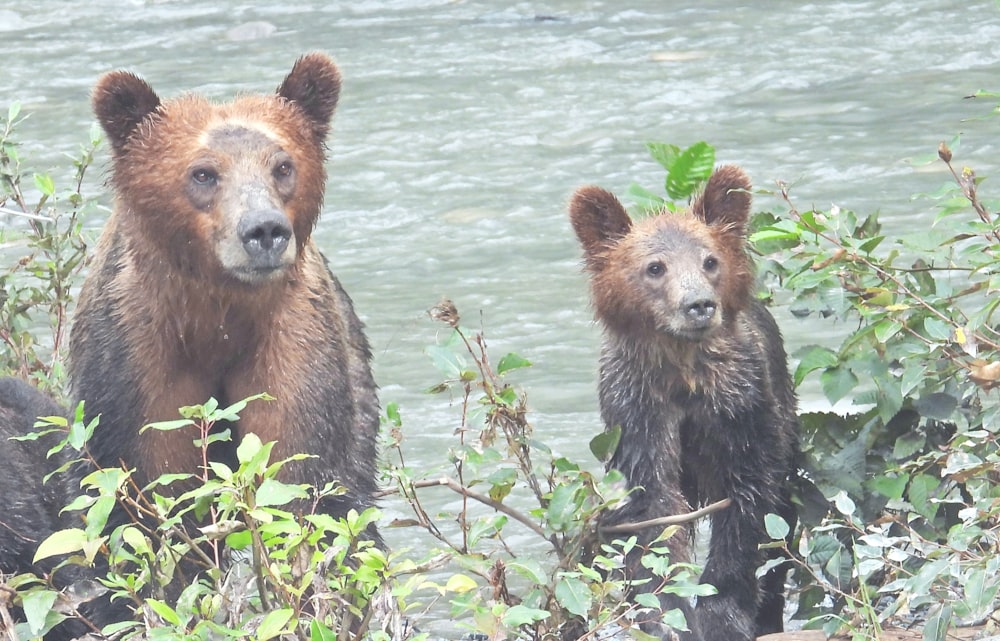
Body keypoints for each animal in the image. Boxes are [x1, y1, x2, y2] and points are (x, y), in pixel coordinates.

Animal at [572, 166, 796, 640]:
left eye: (709, 260)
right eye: (655, 267)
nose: (698, 305)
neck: (683, 371)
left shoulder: (739, 402)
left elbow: (749, 502)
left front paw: (721, 611)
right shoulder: (638, 409)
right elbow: (652, 509)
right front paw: (665, 612)